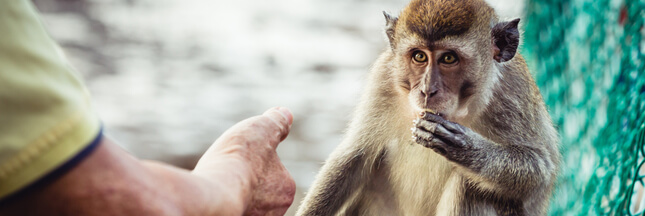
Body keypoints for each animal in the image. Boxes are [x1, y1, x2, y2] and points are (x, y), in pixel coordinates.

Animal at [296, 0, 560, 215]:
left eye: (449, 58)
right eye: (420, 56)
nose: (427, 90)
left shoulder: (513, 93)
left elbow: (539, 171)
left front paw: (466, 148)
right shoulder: (384, 79)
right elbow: (355, 156)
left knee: (471, 187)